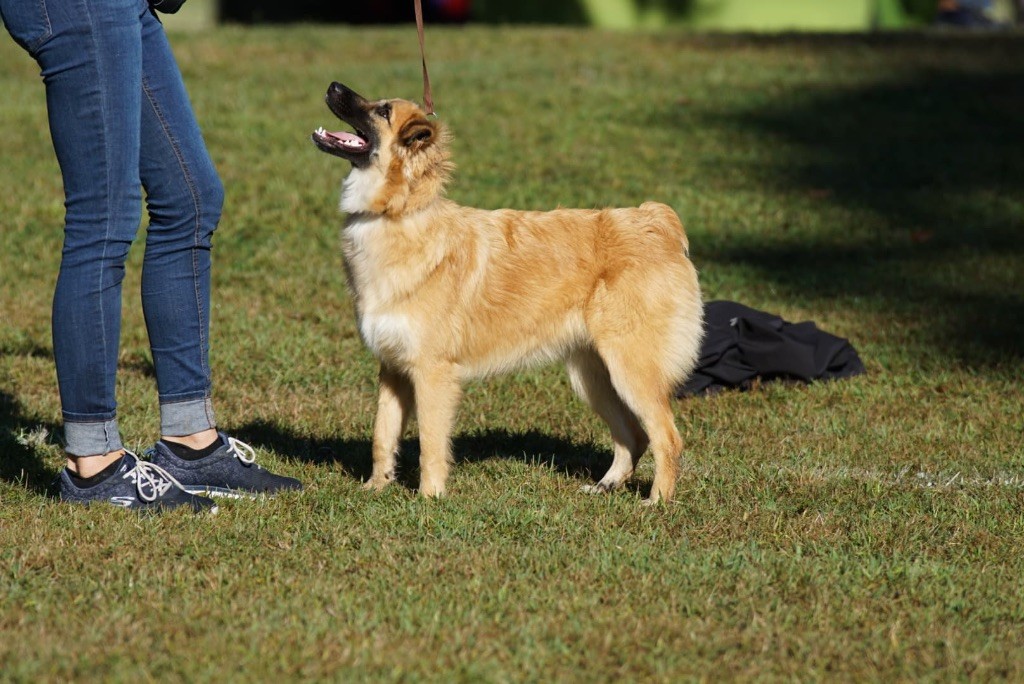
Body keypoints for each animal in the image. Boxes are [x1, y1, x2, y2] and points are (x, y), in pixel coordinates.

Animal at [307, 83, 700, 501]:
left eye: (382, 111)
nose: (333, 86)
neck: (396, 214)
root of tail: (658, 222)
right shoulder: (393, 369)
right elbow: (382, 434)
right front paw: (375, 488)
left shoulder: (432, 373)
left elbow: (431, 442)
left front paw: (429, 498)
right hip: (593, 376)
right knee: (632, 437)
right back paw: (605, 486)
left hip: (631, 371)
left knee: (666, 438)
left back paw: (656, 501)